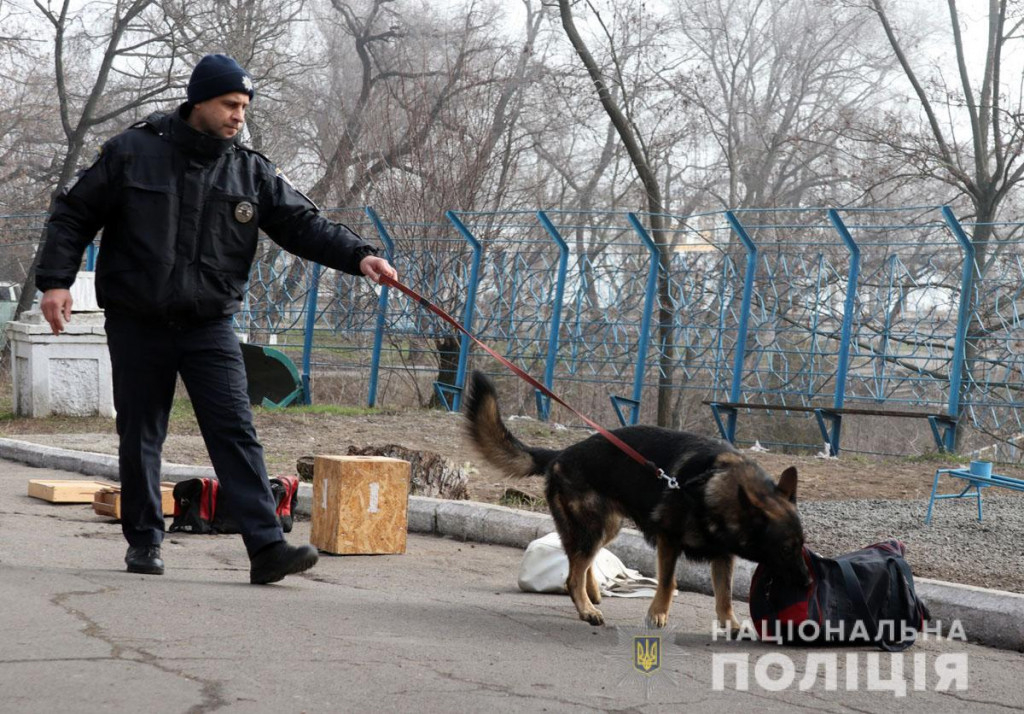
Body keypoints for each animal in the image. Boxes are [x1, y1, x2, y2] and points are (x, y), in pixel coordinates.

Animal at [464, 370, 806, 626]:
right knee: (573, 573)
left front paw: (730, 625)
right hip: (594, 527)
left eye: (802, 546)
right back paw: (587, 609)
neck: (712, 487)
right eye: (786, 548)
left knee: (579, 563)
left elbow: (724, 594)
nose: (804, 581)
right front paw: (657, 614)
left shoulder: (722, 556)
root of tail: (562, 454)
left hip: (607, 526)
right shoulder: (668, 542)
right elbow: (667, 582)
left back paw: (591, 593)